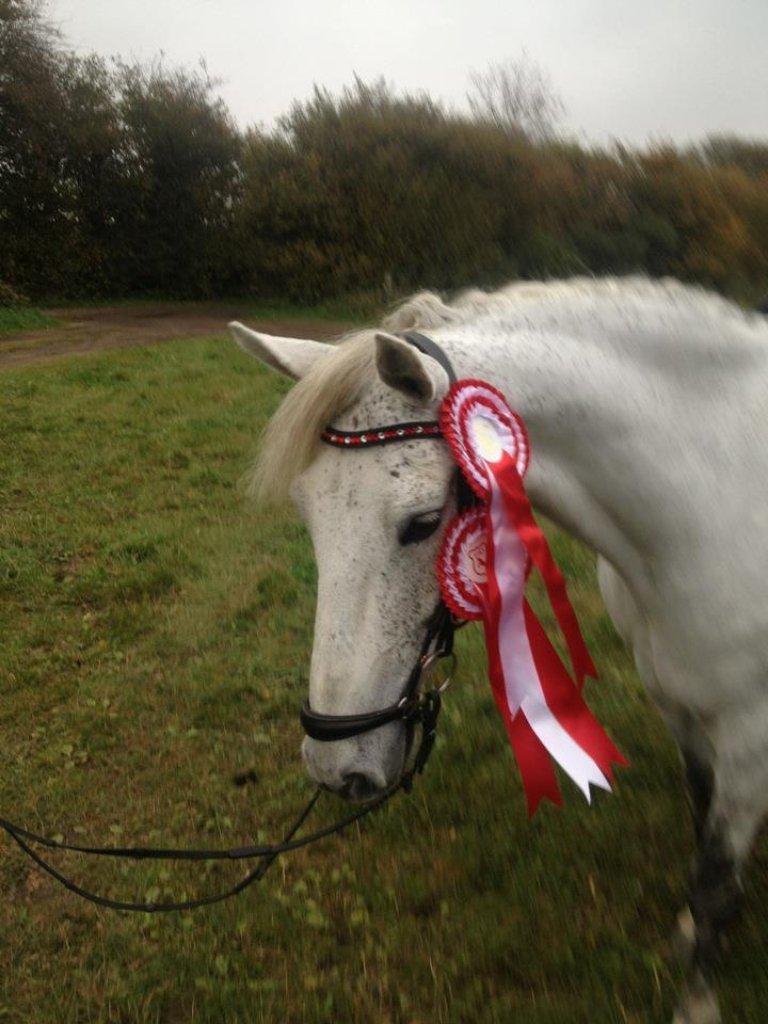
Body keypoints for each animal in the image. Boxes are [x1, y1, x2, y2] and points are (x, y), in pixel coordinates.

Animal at [230, 276, 768, 1024]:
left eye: (424, 521)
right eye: (308, 514)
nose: (336, 767)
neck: (716, 502)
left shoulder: (750, 735)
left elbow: (715, 877)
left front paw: (697, 1001)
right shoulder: (679, 709)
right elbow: (702, 824)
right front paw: (693, 933)